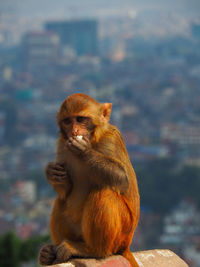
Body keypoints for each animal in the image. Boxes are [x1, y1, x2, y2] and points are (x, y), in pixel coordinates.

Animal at [38, 93, 139, 266]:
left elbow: (122, 179)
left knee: (105, 192)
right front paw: (51, 173)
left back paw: (92, 250)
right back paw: (49, 254)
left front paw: (83, 151)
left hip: (122, 234)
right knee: (61, 199)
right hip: (78, 232)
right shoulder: (61, 145)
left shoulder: (111, 139)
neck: (93, 140)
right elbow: (66, 190)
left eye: (80, 119)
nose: (74, 130)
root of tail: (126, 245)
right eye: (67, 121)